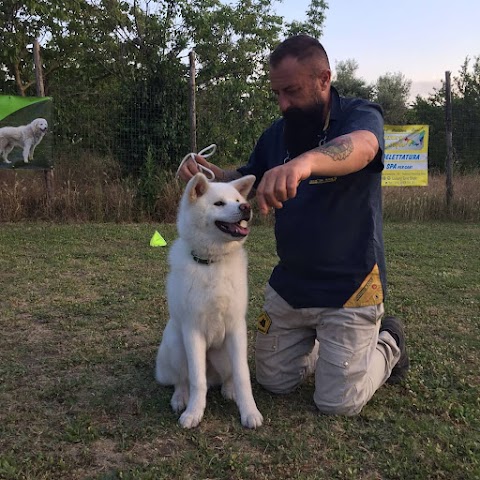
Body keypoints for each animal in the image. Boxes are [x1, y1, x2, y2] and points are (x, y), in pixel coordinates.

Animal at [156, 172, 262, 428]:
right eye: (219, 203)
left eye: (238, 200)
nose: (246, 207)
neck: (213, 262)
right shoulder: (192, 331)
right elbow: (197, 380)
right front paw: (194, 413)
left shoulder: (236, 329)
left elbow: (243, 376)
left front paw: (249, 412)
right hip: (176, 342)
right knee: (183, 380)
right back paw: (180, 398)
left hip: (223, 353)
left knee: (228, 377)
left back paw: (228, 389)